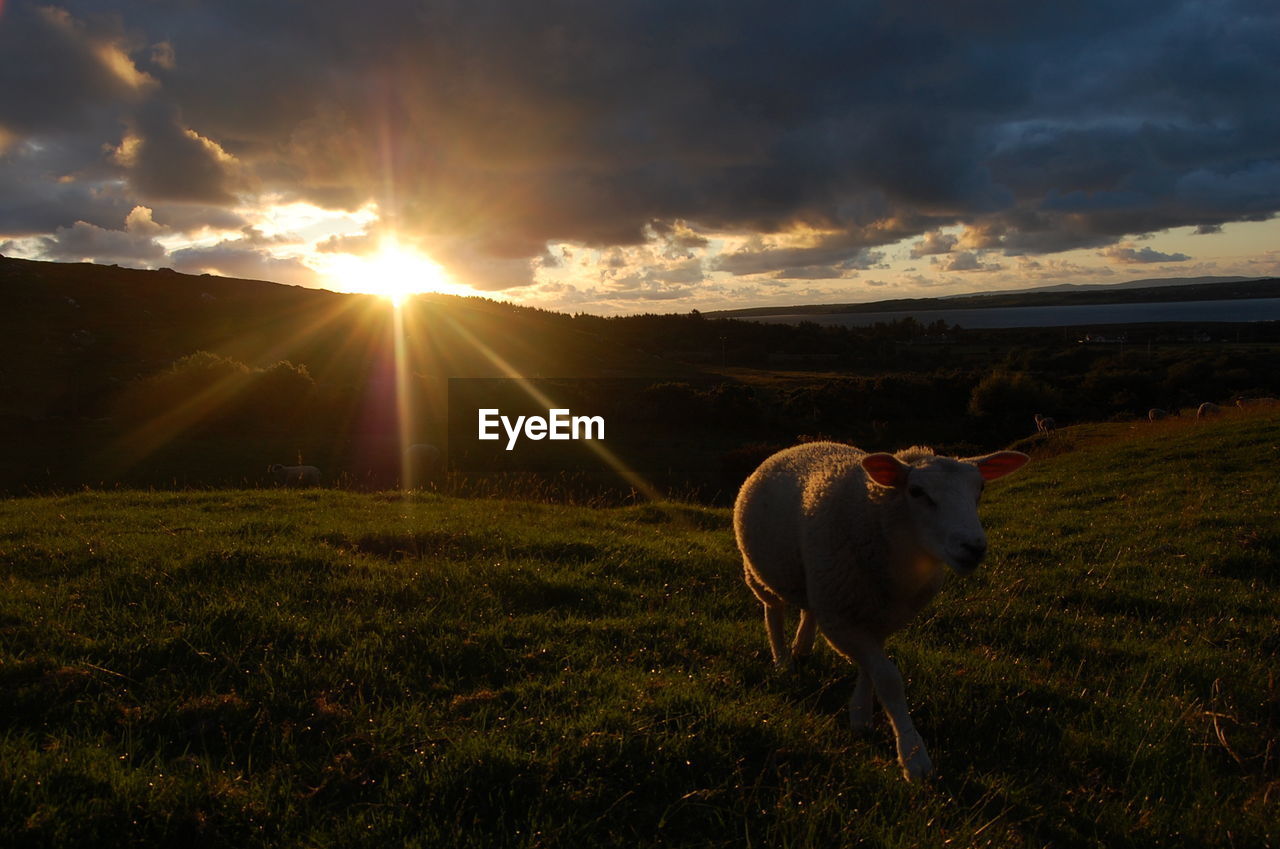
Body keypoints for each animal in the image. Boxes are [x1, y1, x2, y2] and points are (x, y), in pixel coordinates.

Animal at [732, 445, 1029, 783]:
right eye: (916, 492)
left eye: (980, 489)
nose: (973, 547)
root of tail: (796, 447)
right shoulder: (841, 618)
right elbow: (888, 678)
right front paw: (913, 756)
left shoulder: (879, 616)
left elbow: (871, 668)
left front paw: (860, 715)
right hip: (762, 574)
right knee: (774, 613)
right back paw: (783, 661)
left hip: (815, 578)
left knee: (808, 607)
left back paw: (802, 647)